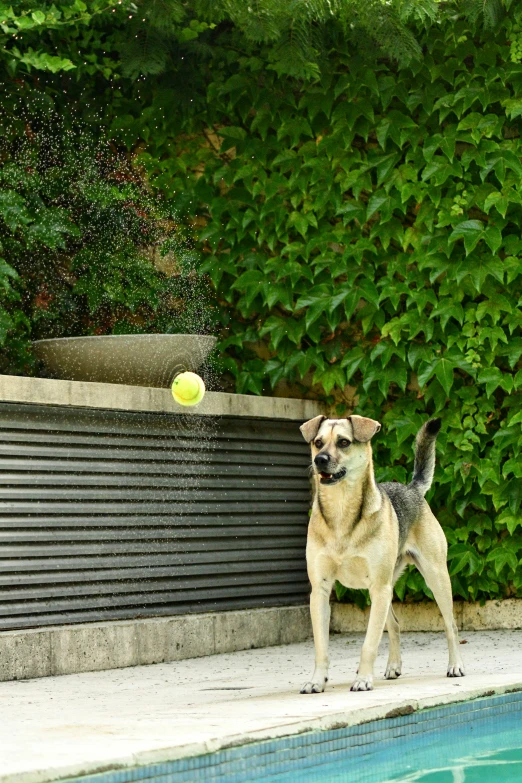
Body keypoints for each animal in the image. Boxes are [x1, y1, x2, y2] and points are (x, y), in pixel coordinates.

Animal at [296, 416, 464, 692]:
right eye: (318, 442)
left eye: (344, 442)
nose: (319, 459)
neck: (341, 511)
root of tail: (412, 489)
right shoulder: (320, 590)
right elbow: (321, 647)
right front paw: (317, 681)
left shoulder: (379, 587)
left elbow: (369, 644)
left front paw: (363, 679)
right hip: (383, 591)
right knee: (395, 624)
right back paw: (393, 666)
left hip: (434, 577)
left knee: (450, 624)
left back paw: (455, 665)